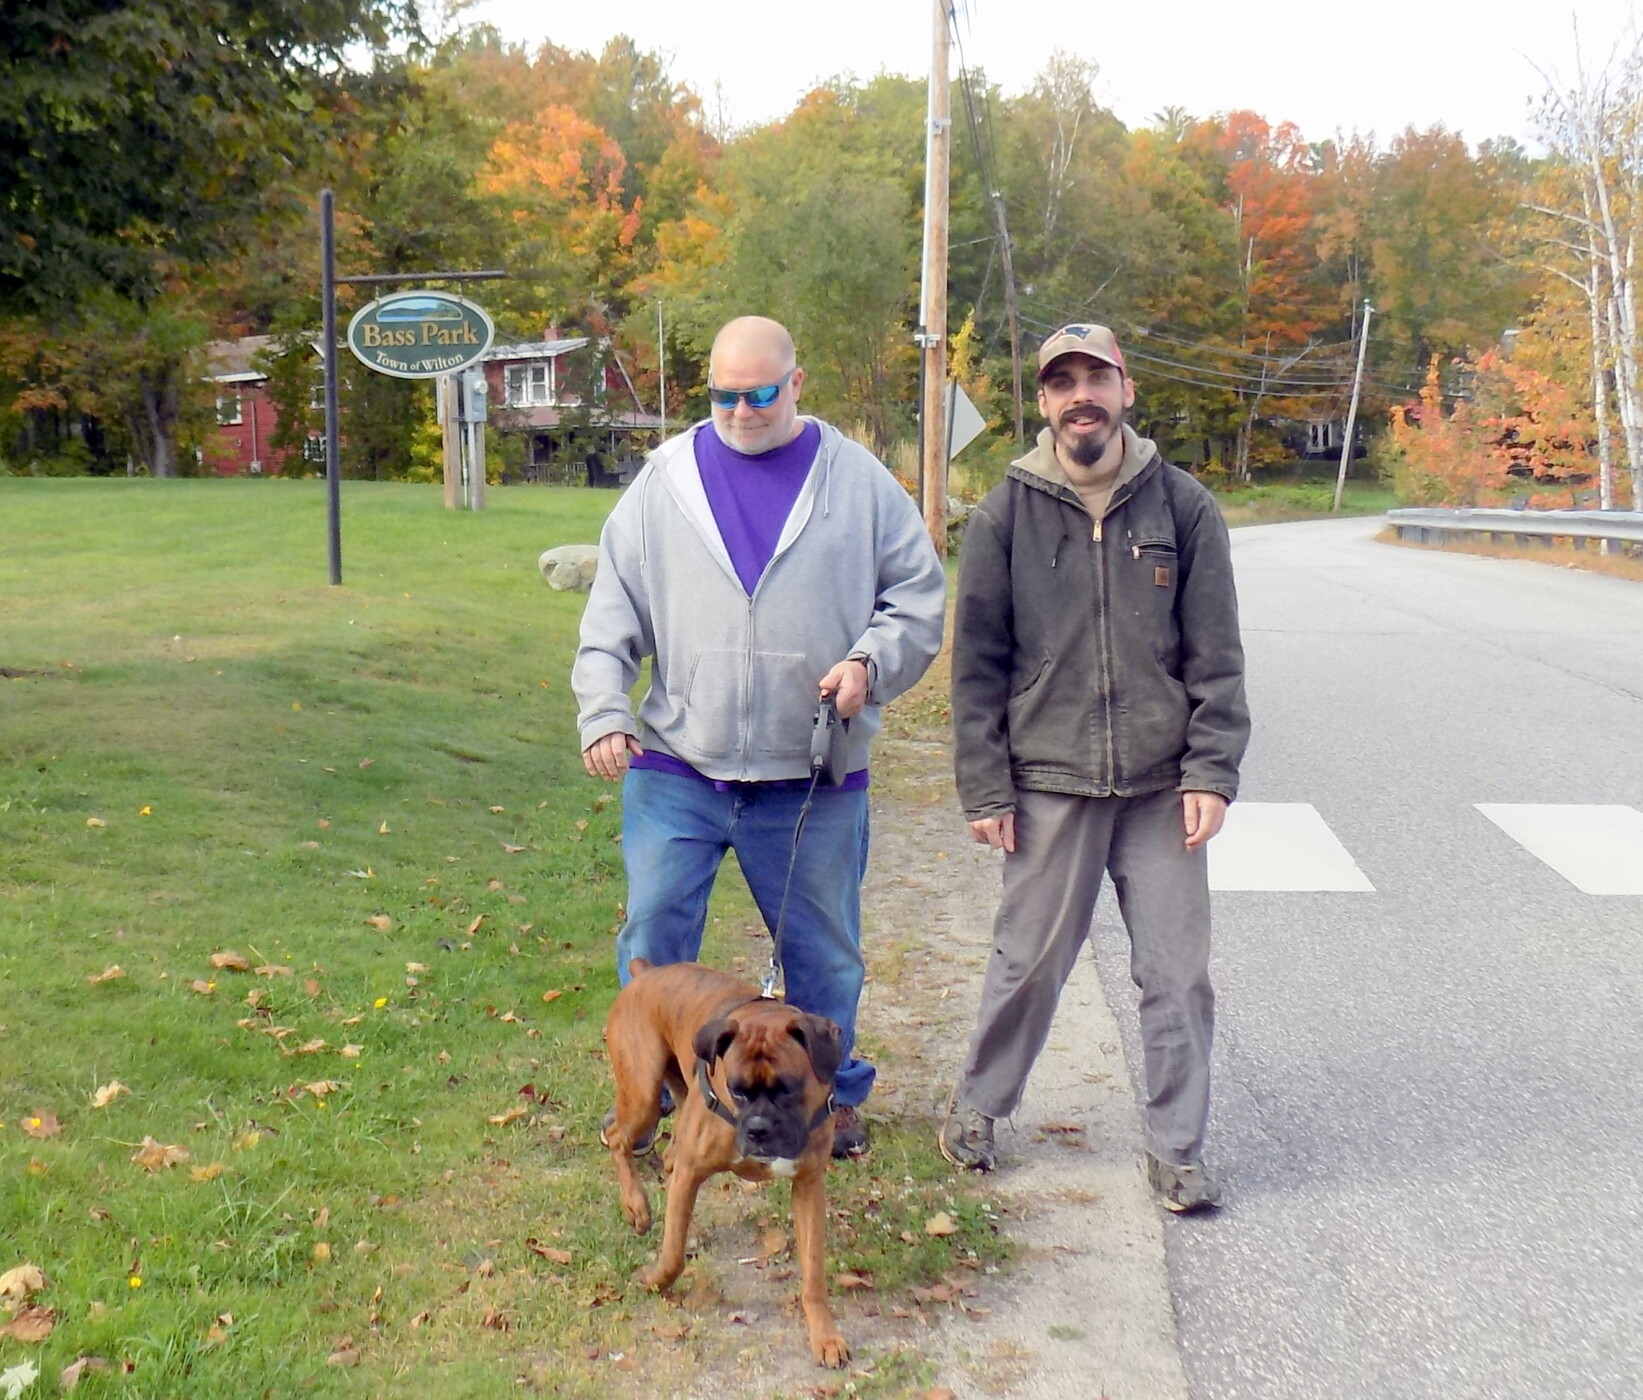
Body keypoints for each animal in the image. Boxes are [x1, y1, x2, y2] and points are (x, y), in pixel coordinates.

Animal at [602, 958, 849, 1367]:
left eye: (789, 1088)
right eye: (737, 1090)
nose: (759, 1128)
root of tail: (645, 971)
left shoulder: (808, 1185)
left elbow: (813, 1272)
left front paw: (825, 1336)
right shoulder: (691, 1174)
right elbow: (673, 1254)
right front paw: (654, 1280)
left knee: (673, 1124)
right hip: (643, 1092)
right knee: (618, 1137)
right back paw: (636, 1206)